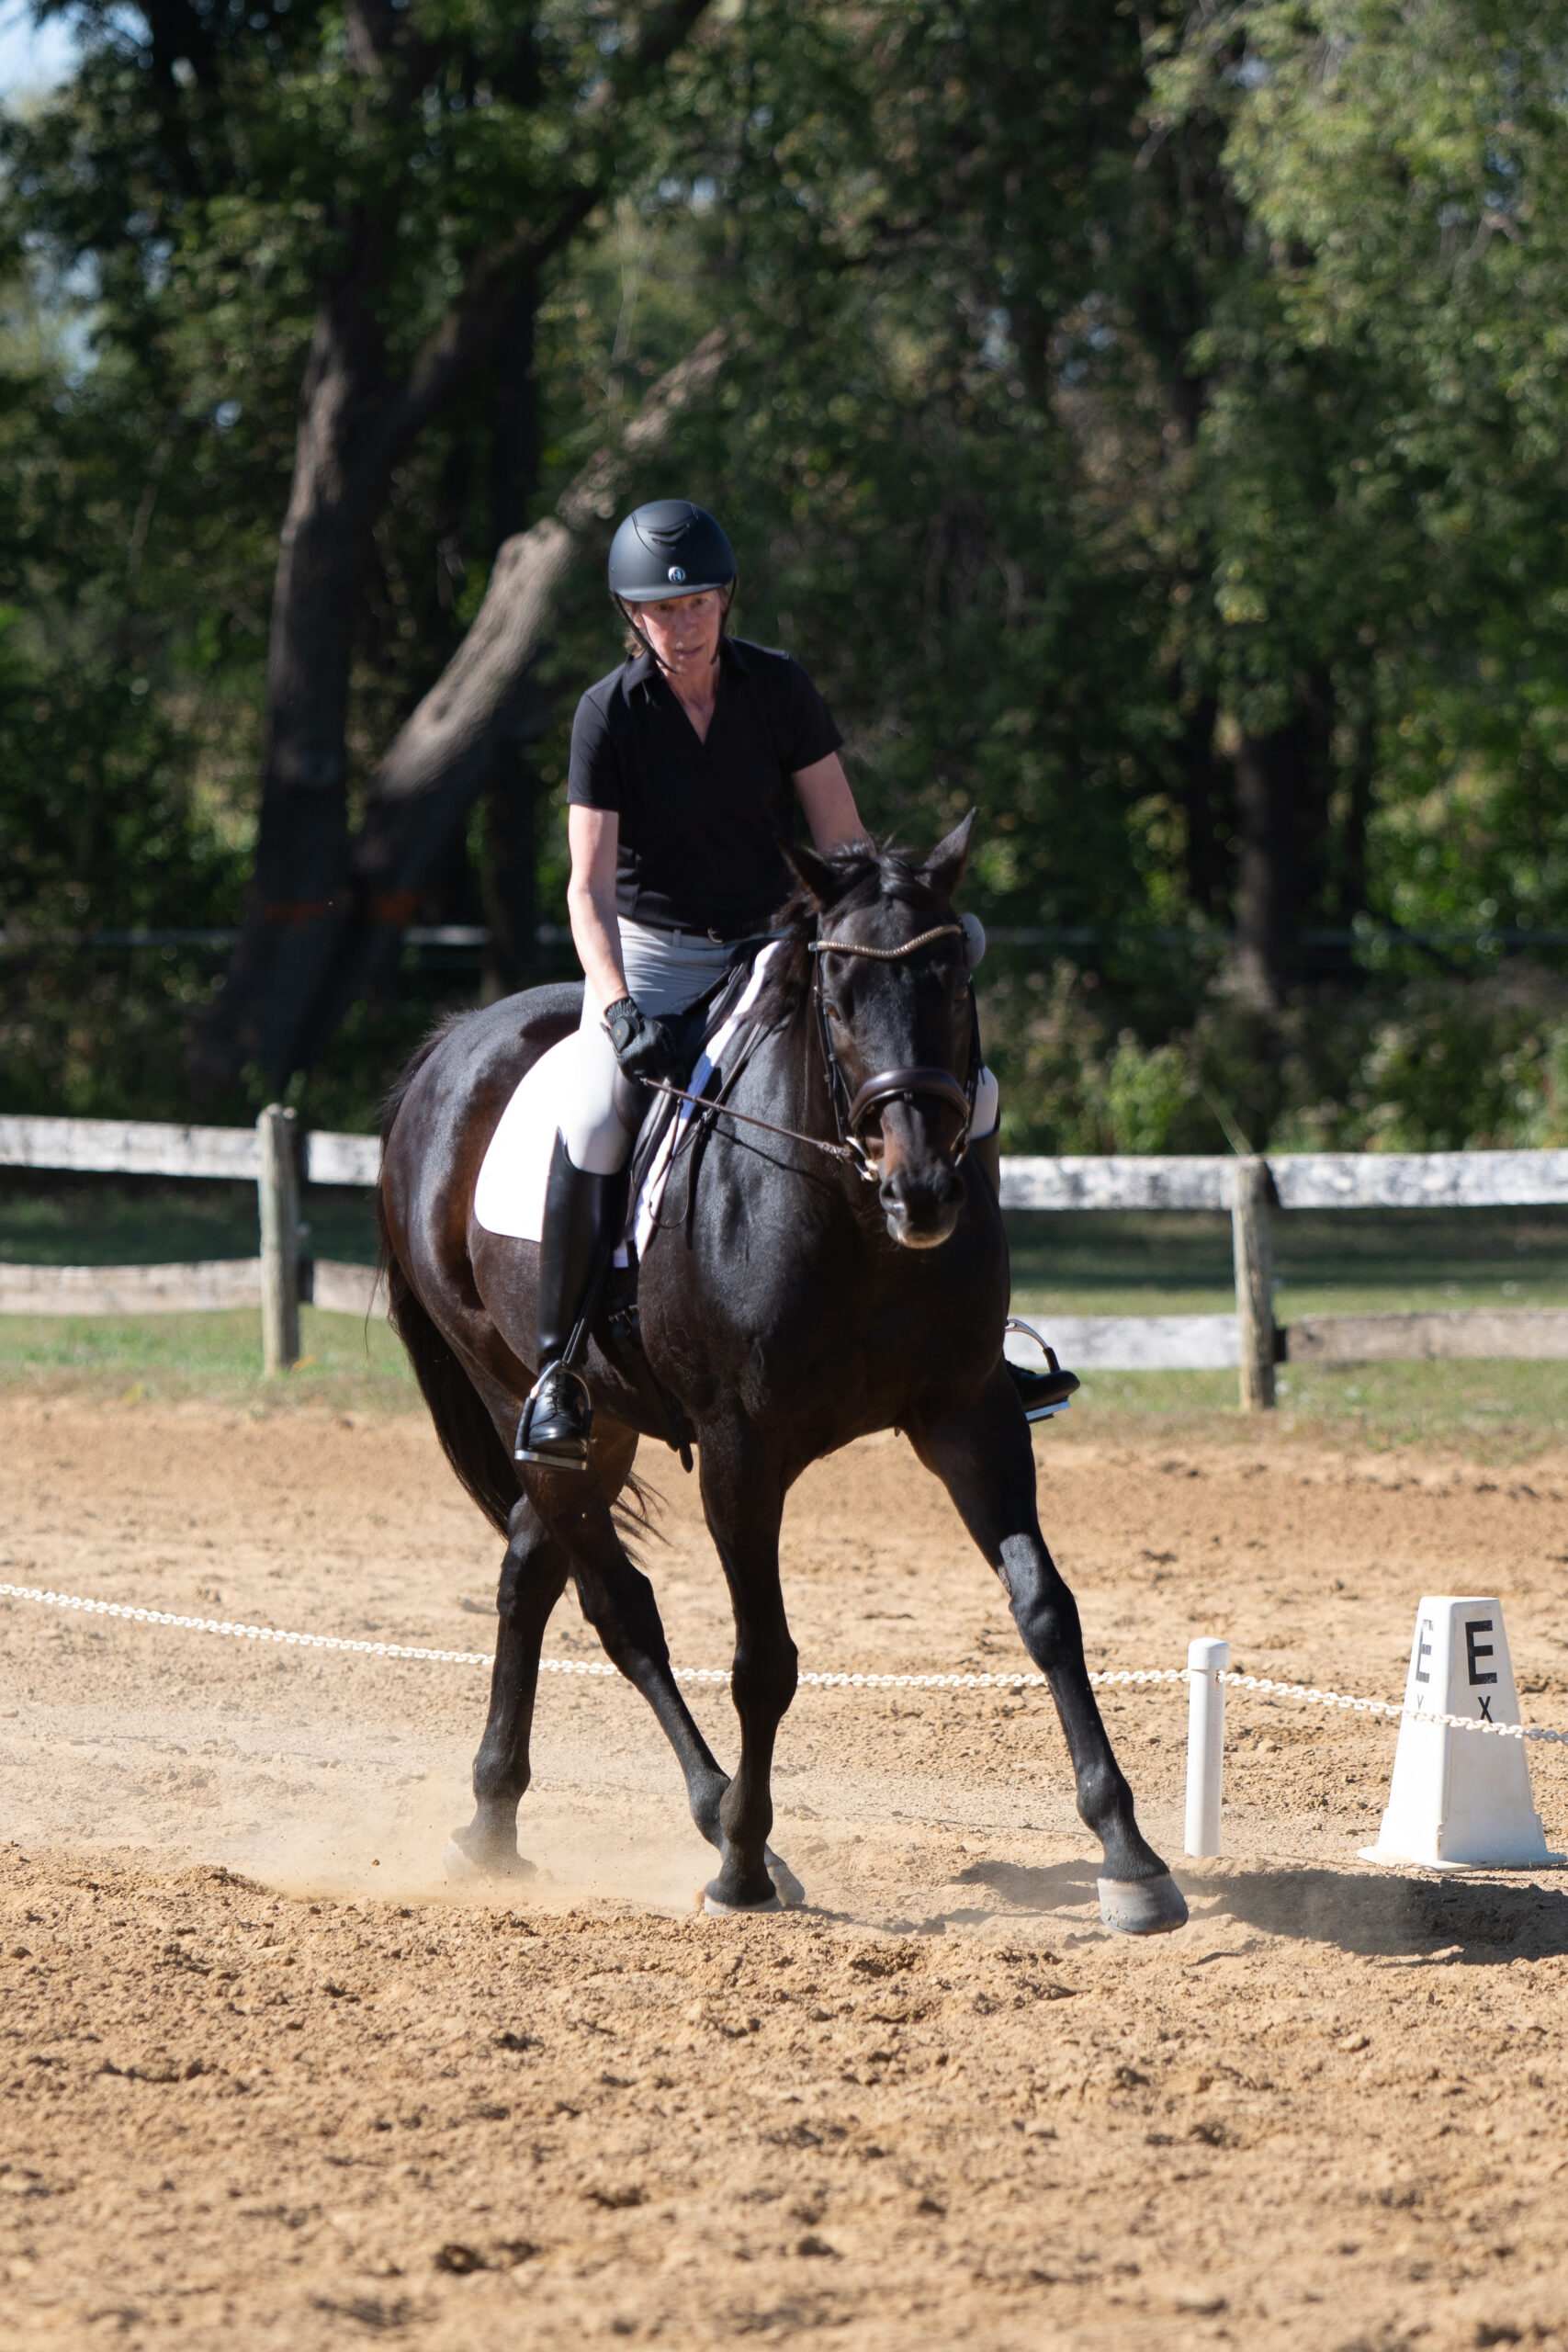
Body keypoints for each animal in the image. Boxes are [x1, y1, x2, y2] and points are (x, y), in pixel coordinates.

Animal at [375, 814, 1187, 1934]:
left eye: (953, 985)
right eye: (835, 999)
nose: (922, 1187)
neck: (855, 1221)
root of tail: (450, 1046)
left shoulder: (969, 1414)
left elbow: (1045, 1611)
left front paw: (1131, 1857)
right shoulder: (739, 1451)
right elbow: (763, 1659)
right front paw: (743, 1868)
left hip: (604, 1422)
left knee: (533, 1572)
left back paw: (494, 1820)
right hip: (514, 1395)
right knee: (617, 1605)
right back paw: (711, 1817)